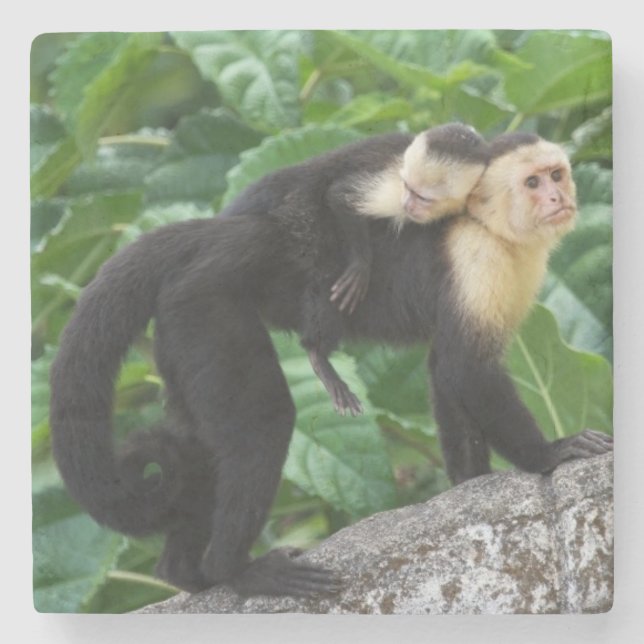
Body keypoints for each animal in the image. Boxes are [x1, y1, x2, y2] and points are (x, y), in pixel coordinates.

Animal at [49, 132, 612, 598]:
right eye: (532, 182)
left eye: (556, 175)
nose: (557, 198)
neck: (491, 227)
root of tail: (229, 234)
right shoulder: (477, 260)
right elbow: (464, 368)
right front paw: (551, 453)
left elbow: (444, 370)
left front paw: (469, 486)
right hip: (207, 303)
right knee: (264, 421)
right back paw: (236, 571)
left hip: (179, 328)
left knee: (196, 442)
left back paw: (186, 572)